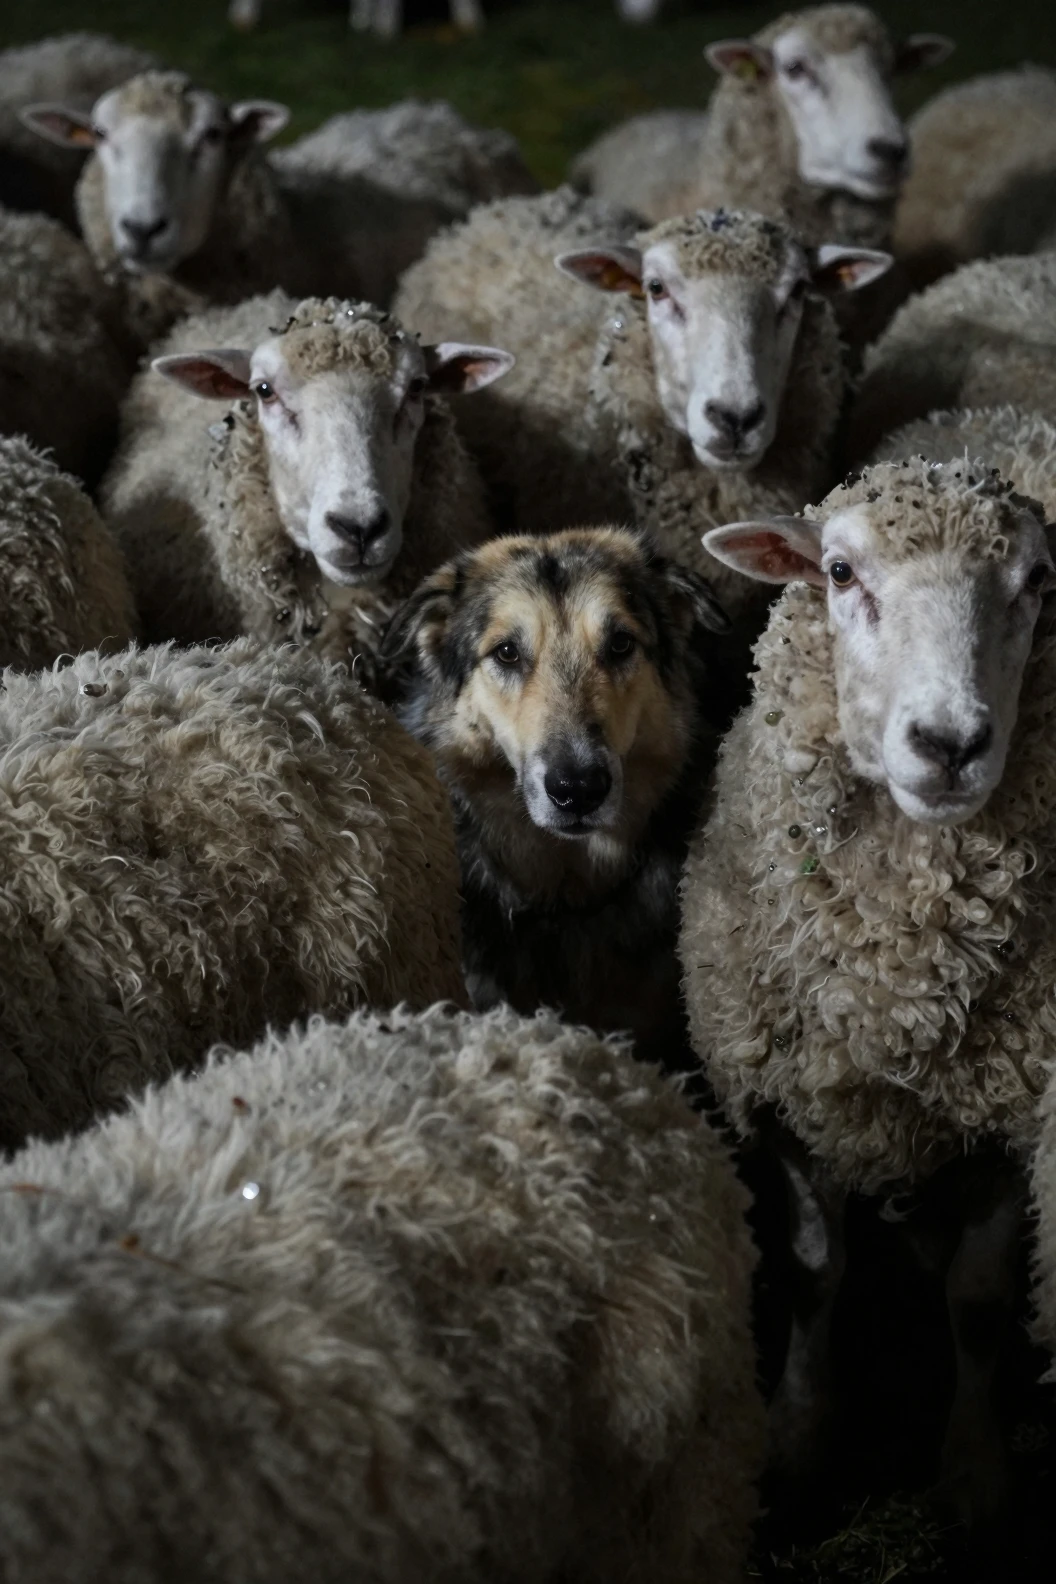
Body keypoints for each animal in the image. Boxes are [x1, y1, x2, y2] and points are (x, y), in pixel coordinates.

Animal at [681, 458, 1056, 1519]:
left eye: (1037, 581)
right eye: (840, 573)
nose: (949, 742)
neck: (898, 994)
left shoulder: (1007, 1110)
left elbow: (978, 1302)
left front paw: (973, 1471)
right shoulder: (787, 1101)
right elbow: (815, 1273)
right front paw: (799, 1438)